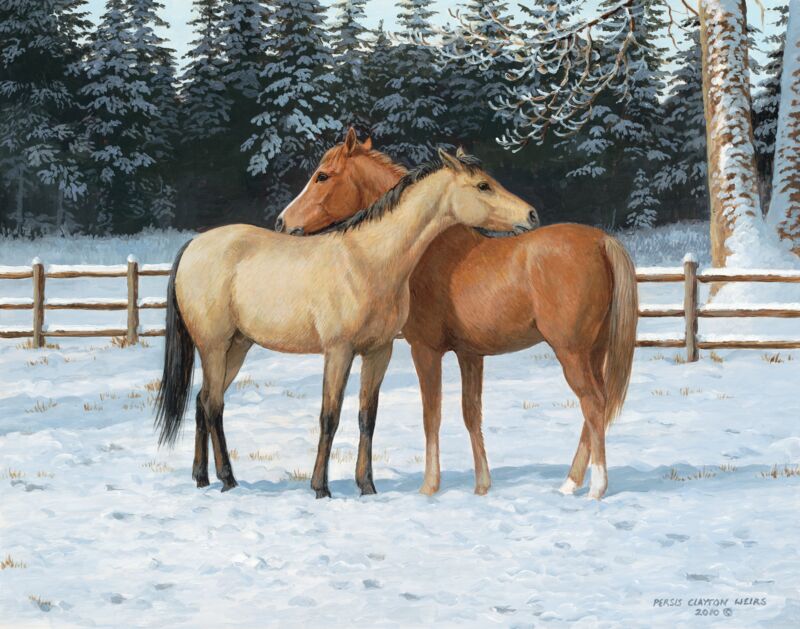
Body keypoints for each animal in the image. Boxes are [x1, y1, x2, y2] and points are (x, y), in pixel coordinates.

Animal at [154, 149, 539, 499]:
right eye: (483, 185)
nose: (532, 215)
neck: (368, 260)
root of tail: (194, 244)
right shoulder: (338, 351)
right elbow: (330, 416)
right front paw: (320, 488)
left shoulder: (379, 352)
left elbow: (367, 417)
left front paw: (367, 486)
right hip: (214, 346)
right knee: (214, 406)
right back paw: (228, 480)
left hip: (237, 346)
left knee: (203, 400)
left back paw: (203, 478)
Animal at [275, 128, 638, 500]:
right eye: (483, 184)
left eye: (322, 176)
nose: (283, 221)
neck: (431, 252)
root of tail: (602, 241)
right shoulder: (470, 353)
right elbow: (470, 414)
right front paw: (482, 486)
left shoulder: (425, 350)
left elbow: (432, 414)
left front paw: (429, 487)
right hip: (593, 351)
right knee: (596, 407)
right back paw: (570, 484)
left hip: (571, 351)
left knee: (593, 404)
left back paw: (595, 487)